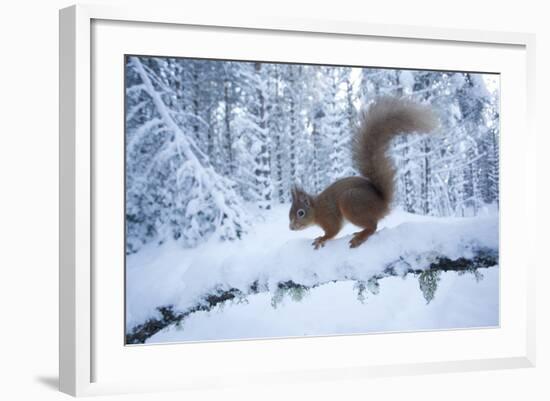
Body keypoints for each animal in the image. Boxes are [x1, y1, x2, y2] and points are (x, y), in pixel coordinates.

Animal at [288, 95, 440, 248]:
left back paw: (360, 237)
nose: (291, 227)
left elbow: (333, 231)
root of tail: (382, 204)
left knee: (373, 226)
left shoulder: (329, 217)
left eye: (300, 213)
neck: (317, 209)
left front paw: (321, 238)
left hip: (350, 202)